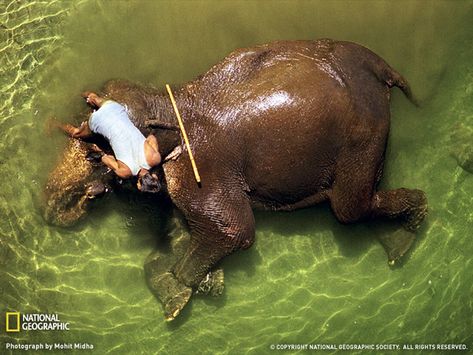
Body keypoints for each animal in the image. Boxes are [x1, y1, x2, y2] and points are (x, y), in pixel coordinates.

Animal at [43, 39, 428, 322]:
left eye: (94, 153)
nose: (51, 210)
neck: (169, 102)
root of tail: (380, 66)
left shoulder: (199, 167)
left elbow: (234, 230)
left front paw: (183, 293)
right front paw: (207, 284)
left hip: (364, 130)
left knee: (348, 208)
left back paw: (414, 220)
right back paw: (399, 246)